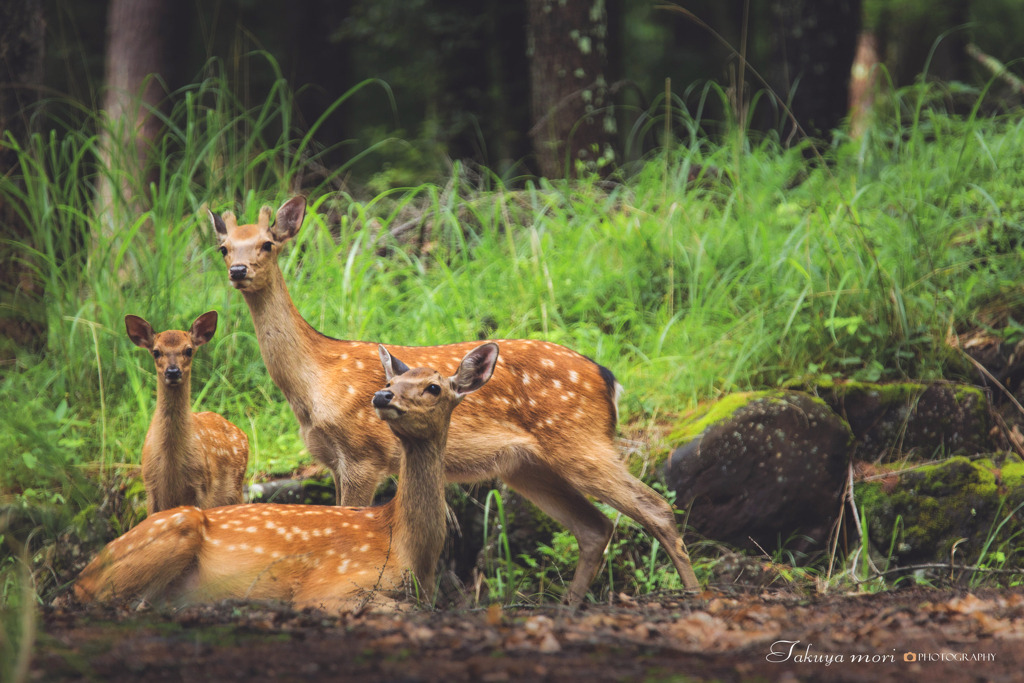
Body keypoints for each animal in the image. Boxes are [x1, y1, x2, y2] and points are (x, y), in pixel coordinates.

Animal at [75, 344, 499, 610]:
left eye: (434, 387)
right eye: (391, 383)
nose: (383, 396)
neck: (408, 548)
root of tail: (86, 570)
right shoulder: (329, 583)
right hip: (177, 527)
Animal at [125, 311, 249, 511]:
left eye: (189, 350)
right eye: (156, 352)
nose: (173, 372)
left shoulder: (203, 487)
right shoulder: (150, 489)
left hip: (235, 490)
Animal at [208, 194, 704, 602]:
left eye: (267, 244)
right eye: (225, 247)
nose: (238, 271)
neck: (314, 380)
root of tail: (607, 378)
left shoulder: (363, 454)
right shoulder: (333, 459)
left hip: (582, 442)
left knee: (655, 508)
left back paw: (695, 595)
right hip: (528, 466)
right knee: (595, 527)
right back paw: (570, 605)